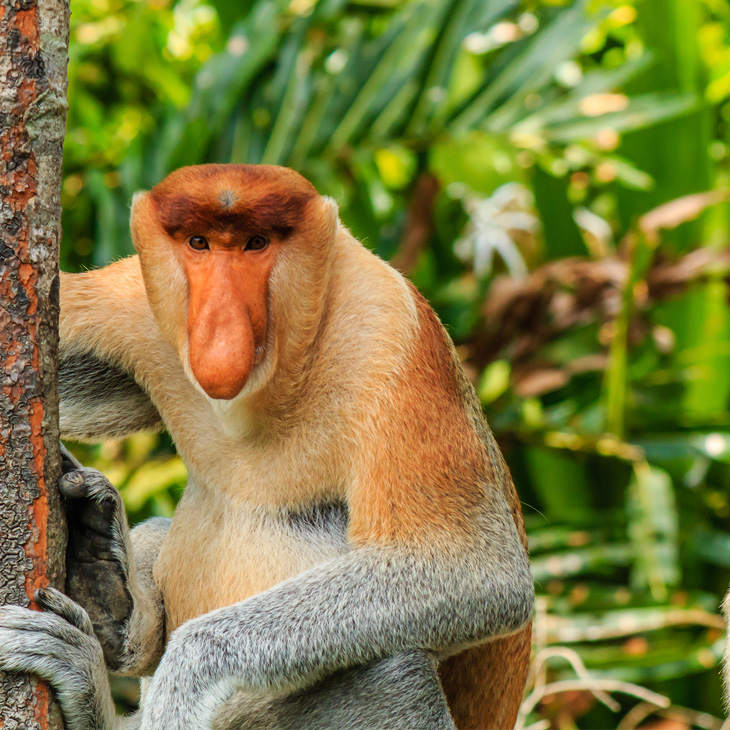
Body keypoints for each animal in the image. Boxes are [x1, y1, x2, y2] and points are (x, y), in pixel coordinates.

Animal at [0, 165, 532, 728]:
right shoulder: (134, 301)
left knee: (396, 672)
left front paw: (185, 676)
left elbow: (481, 571)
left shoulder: (388, 332)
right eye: (199, 243)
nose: (219, 326)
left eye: (256, 244)